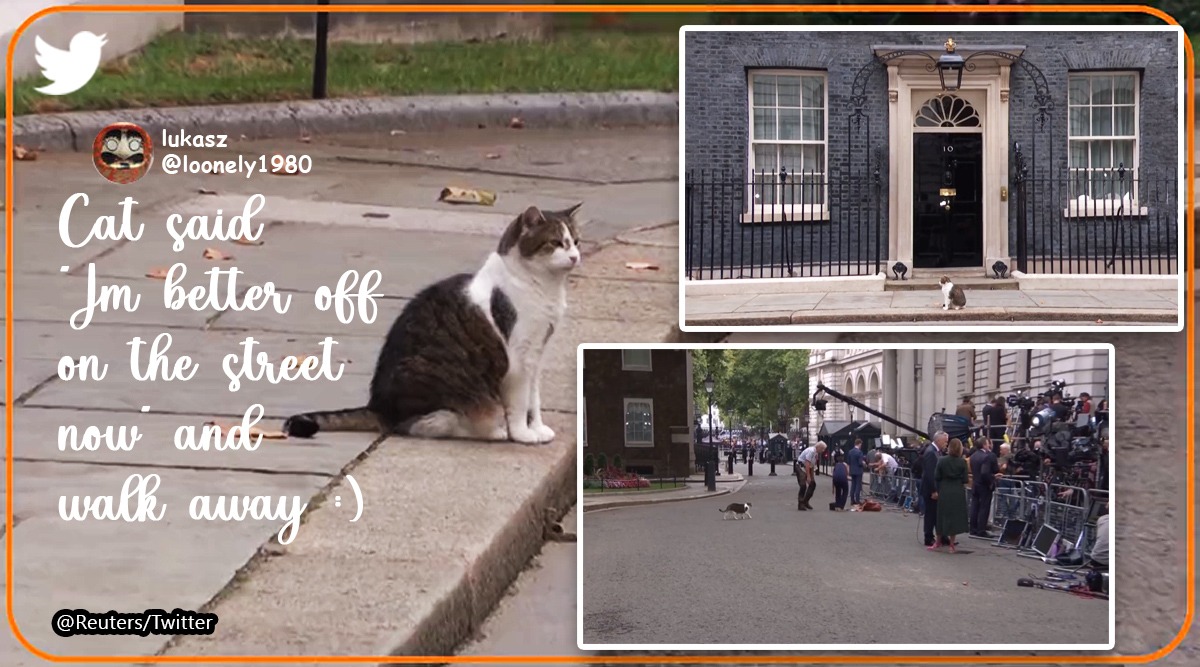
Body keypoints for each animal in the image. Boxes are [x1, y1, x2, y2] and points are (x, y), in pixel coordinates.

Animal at [280, 202, 580, 443]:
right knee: (423, 425)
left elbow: (534, 399)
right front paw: (523, 434)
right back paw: (490, 430)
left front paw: (537, 428)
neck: (544, 287)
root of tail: (378, 405)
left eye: (576, 241)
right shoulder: (519, 358)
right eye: (556, 243)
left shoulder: (537, 354)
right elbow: (519, 403)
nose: (576, 256)